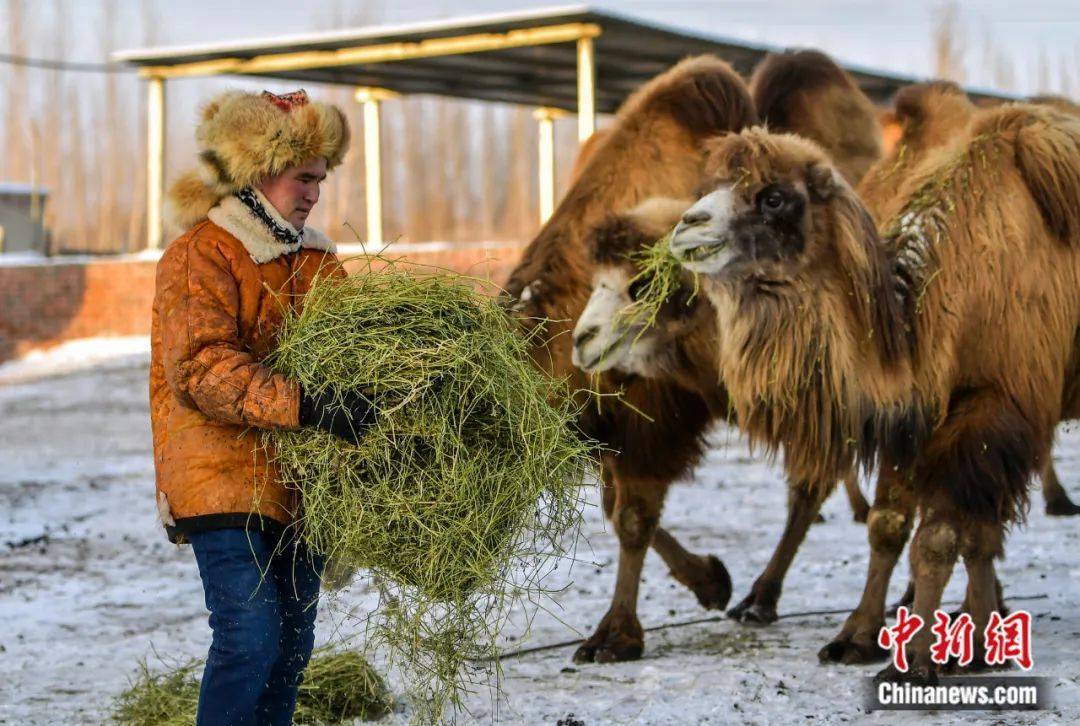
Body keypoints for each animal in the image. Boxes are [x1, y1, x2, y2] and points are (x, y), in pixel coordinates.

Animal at [501, 55, 756, 665]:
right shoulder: (608, 427)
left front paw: (614, 635)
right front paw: (712, 581)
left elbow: (633, 517)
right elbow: (619, 509)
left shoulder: (651, 415)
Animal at [665, 104, 1080, 678]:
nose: (689, 225)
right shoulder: (915, 418)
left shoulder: (995, 408)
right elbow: (893, 527)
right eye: (708, 186)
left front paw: (923, 661)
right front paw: (859, 639)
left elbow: (943, 538)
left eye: (774, 196)